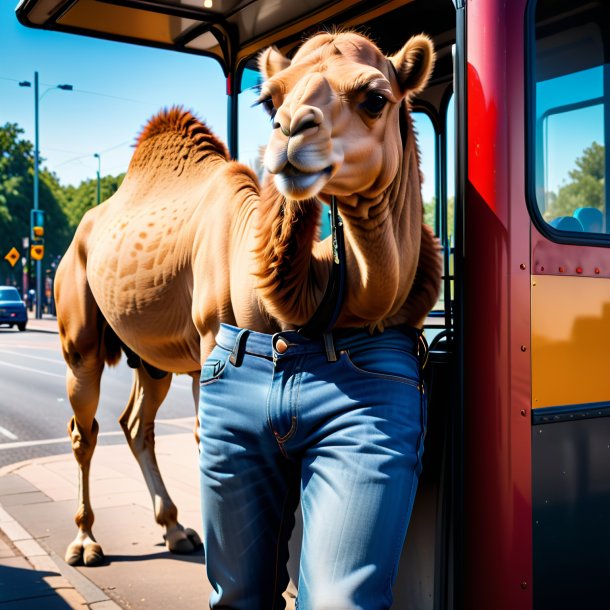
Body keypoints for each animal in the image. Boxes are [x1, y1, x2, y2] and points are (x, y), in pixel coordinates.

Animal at [54, 30, 440, 568]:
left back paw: (174, 530)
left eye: (374, 98)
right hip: (79, 330)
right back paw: (86, 541)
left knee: (135, 423)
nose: (291, 130)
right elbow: (203, 438)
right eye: (271, 100)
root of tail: (80, 230)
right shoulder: (209, 341)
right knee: (83, 427)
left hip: (151, 356)